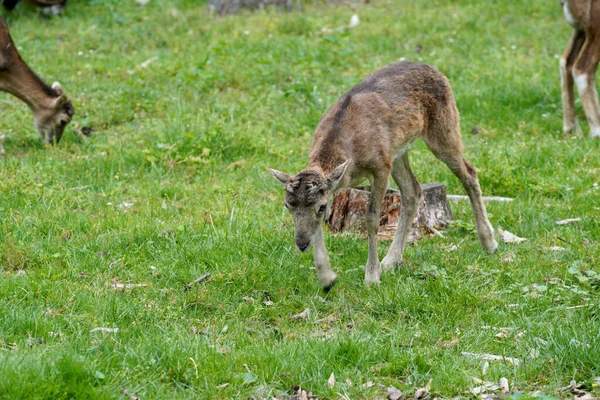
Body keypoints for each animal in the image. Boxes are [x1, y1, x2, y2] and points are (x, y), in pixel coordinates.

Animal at [270, 61, 500, 290]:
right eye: (287, 205)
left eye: (321, 206)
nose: (301, 244)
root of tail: (437, 71)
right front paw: (327, 278)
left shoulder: (380, 167)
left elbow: (371, 219)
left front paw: (372, 276)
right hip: (397, 152)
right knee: (413, 190)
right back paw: (391, 261)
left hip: (444, 127)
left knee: (469, 172)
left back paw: (489, 243)